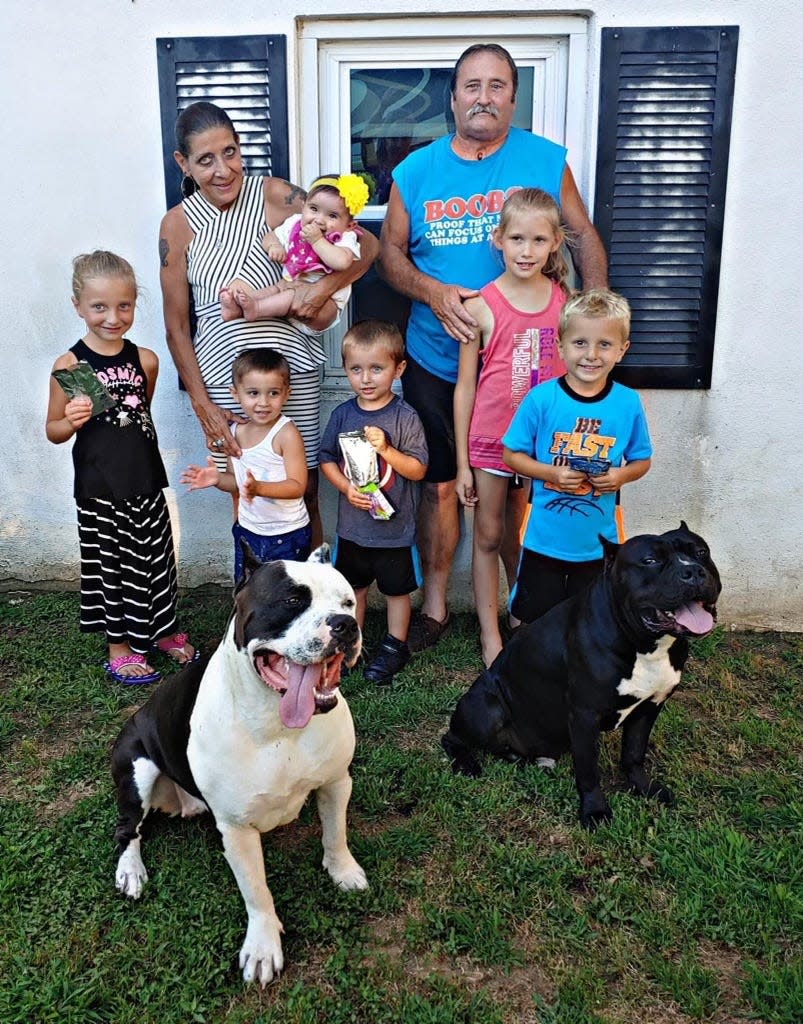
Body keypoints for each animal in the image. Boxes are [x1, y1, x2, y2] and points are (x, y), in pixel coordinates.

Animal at [442, 524, 725, 827]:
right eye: (650, 561)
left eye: (701, 552)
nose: (693, 571)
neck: (646, 644)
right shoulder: (584, 715)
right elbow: (589, 770)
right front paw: (595, 810)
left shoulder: (650, 706)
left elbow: (634, 753)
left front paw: (644, 788)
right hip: (486, 708)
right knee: (452, 738)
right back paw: (466, 763)